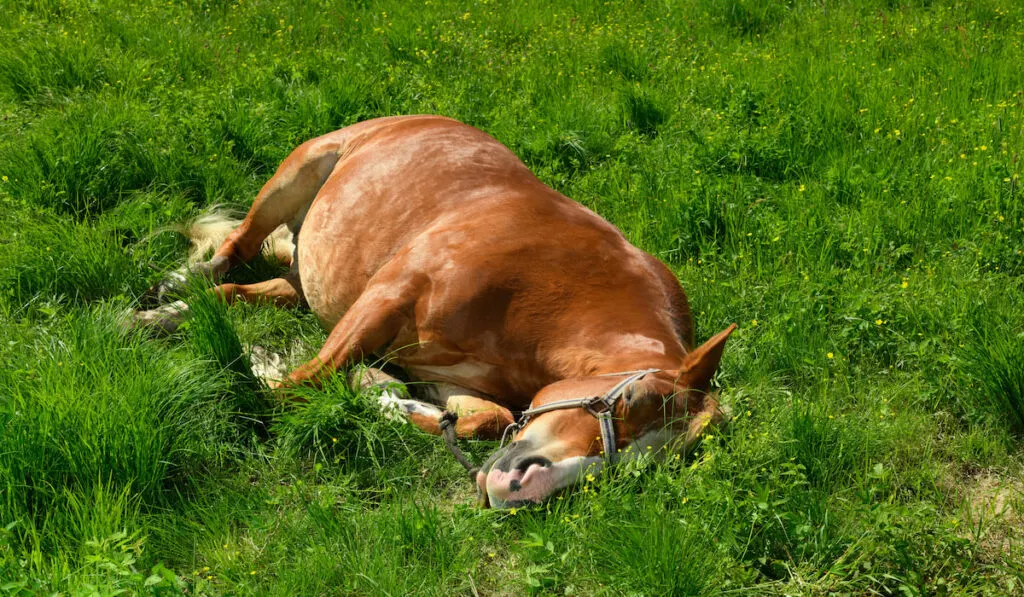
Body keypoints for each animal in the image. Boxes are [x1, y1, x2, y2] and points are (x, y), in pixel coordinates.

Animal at [134, 115, 737, 509]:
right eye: (632, 398)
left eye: (646, 466)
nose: (523, 489)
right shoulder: (386, 296)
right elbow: (300, 382)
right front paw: (254, 374)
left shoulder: (455, 378)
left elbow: (481, 418)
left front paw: (383, 394)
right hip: (293, 179)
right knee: (234, 247)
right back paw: (165, 297)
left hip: (307, 281)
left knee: (252, 291)